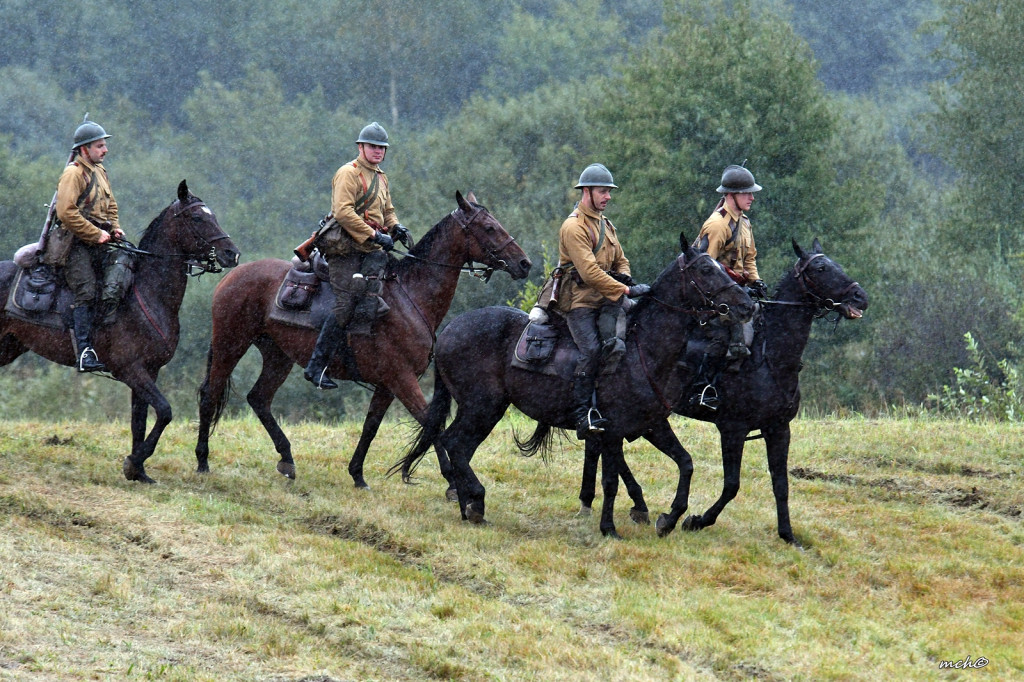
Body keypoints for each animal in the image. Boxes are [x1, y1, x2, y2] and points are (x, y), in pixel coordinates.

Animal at [196, 188, 536, 481]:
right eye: (489, 228)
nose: (524, 263)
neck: (410, 296)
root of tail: (234, 275)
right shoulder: (401, 379)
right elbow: (431, 423)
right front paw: (453, 481)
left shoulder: (387, 384)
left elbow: (371, 427)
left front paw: (357, 474)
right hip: (231, 344)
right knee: (210, 394)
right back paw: (202, 461)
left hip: (277, 355)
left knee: (259, 399)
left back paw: (287, 459)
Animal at [395, 238, 757, 536]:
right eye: (705, 270)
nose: (747, 305)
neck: (643, 349)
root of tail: (449, 330)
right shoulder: (612, 431)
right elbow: (610, 481)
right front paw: (609, 528)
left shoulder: (652, 425)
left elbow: (685, 463)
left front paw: (670, 519)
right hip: (482, 407)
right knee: (455, 444)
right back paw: (477, 501)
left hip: (482, 410)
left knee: (457, 446)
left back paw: (468, 506)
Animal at [581, 236, 868, 544]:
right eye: (821, 268)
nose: (860, 297)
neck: (770, 357)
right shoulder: (733, 429)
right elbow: (732, 484)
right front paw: (695, 521)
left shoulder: (779, 429)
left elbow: (781, 484)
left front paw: (788, 535)